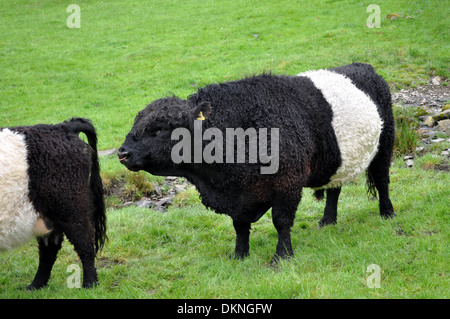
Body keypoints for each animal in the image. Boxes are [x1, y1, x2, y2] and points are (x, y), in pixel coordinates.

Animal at [0, 117, 107, 290]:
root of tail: (62, 127)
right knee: (49, 248)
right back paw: (35, 285)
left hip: (70, 207)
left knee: (83, 241)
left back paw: (90, 283)